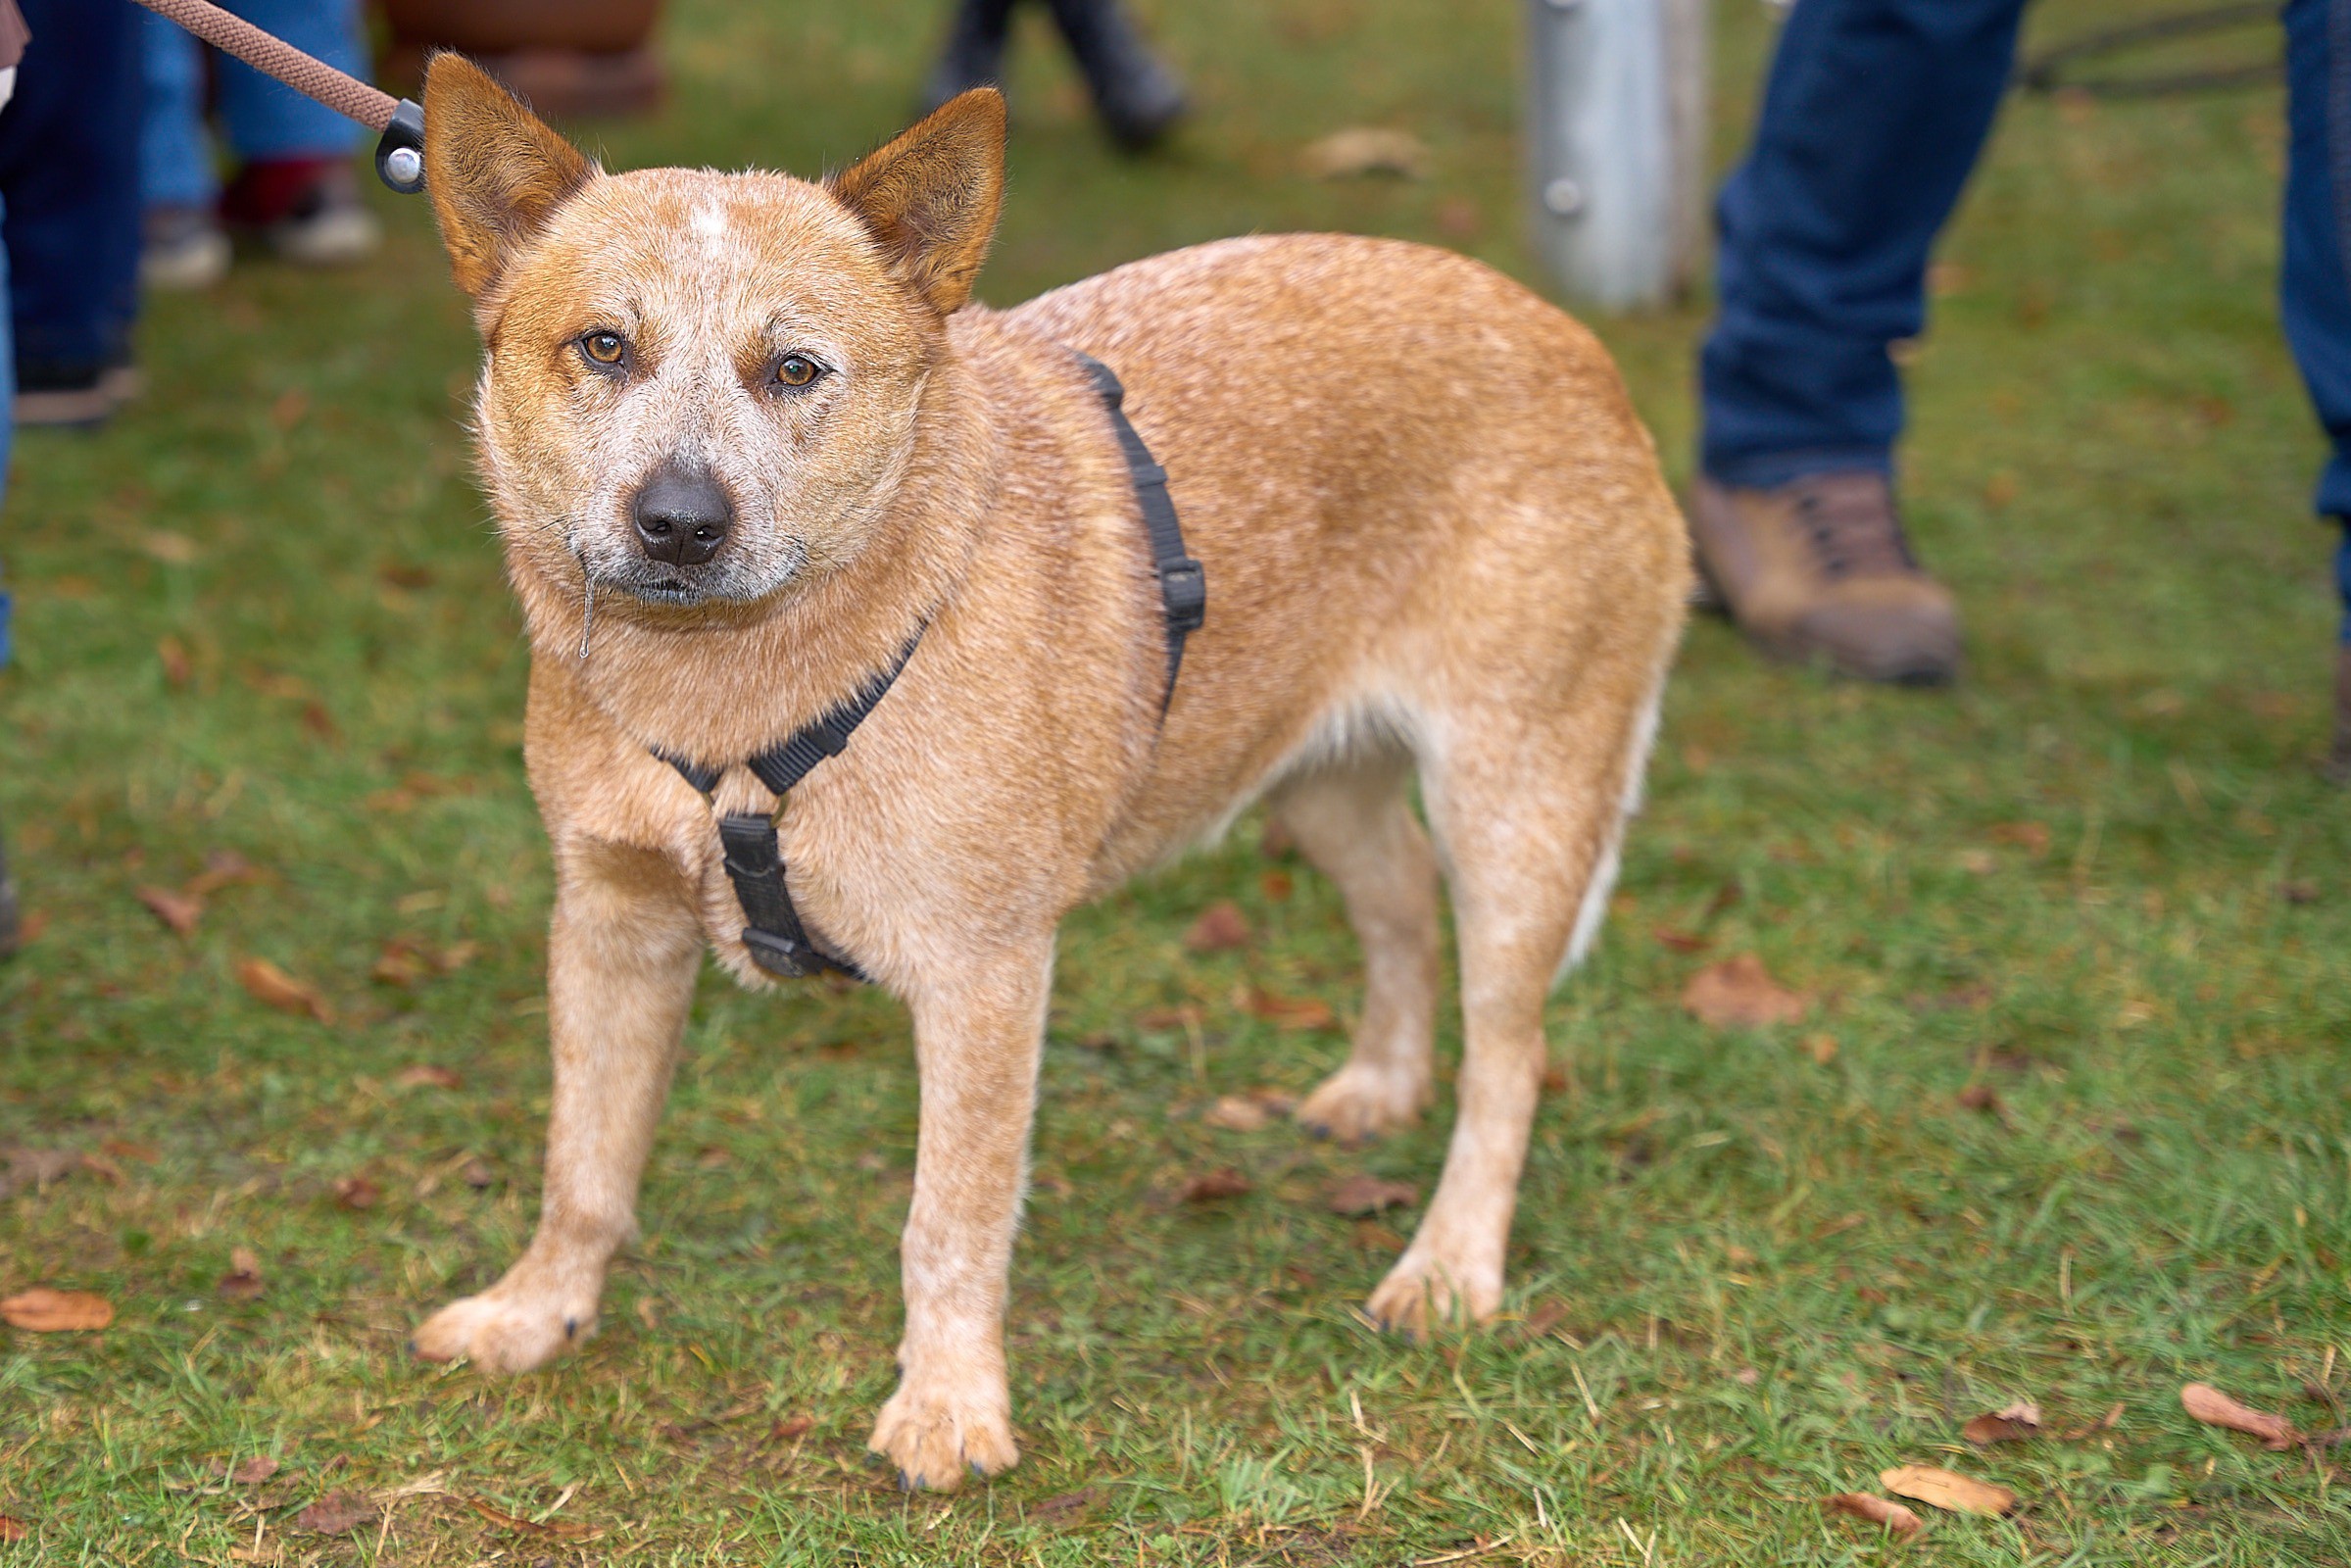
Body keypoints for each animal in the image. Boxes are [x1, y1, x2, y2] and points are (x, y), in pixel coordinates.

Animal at [409, 55, 1692, 1494]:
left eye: (793, 367)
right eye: (602, 347)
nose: (679, 522)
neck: (736, 693)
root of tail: (1569, 338)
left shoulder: (984, 969)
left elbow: (950, 1216)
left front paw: (949, 1405)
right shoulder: (608, 918)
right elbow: (581, 1160)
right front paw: (536, 1313)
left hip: (1512, 809)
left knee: (1510, 1055)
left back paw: (1450, 1266)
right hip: (1309, 777)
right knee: (1400, 906)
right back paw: (1376, 1086)